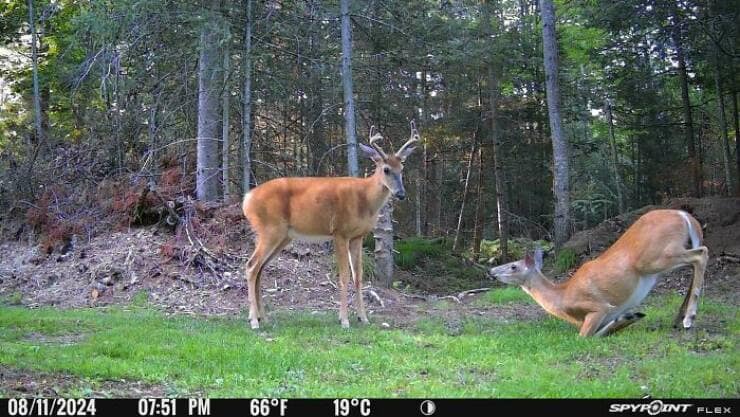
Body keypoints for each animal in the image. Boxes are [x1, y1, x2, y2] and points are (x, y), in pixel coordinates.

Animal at [242, 123, 419, 329]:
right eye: (386, 169)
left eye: (402, 168)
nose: (401, 194)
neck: (365, 200)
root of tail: (247, 199)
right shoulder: (339, 232)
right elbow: (344, 275)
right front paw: (344, 320)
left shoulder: (358, 236)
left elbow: (358, 276)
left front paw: (363, 318)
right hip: (271, 229)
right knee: (251, 266)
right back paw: (254, 321)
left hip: (282, 236)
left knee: (260, 269)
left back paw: (264, 318)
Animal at [488, 209, 708, 336]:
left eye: (513, 266)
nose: (491, 271)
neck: (562, 297)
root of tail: (685, 216)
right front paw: (630, 317)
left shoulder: (597, 306)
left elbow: (585, 337)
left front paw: (629, 317)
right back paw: (678, 318)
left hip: (653, 258)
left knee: (701, 254)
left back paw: (689, 319)